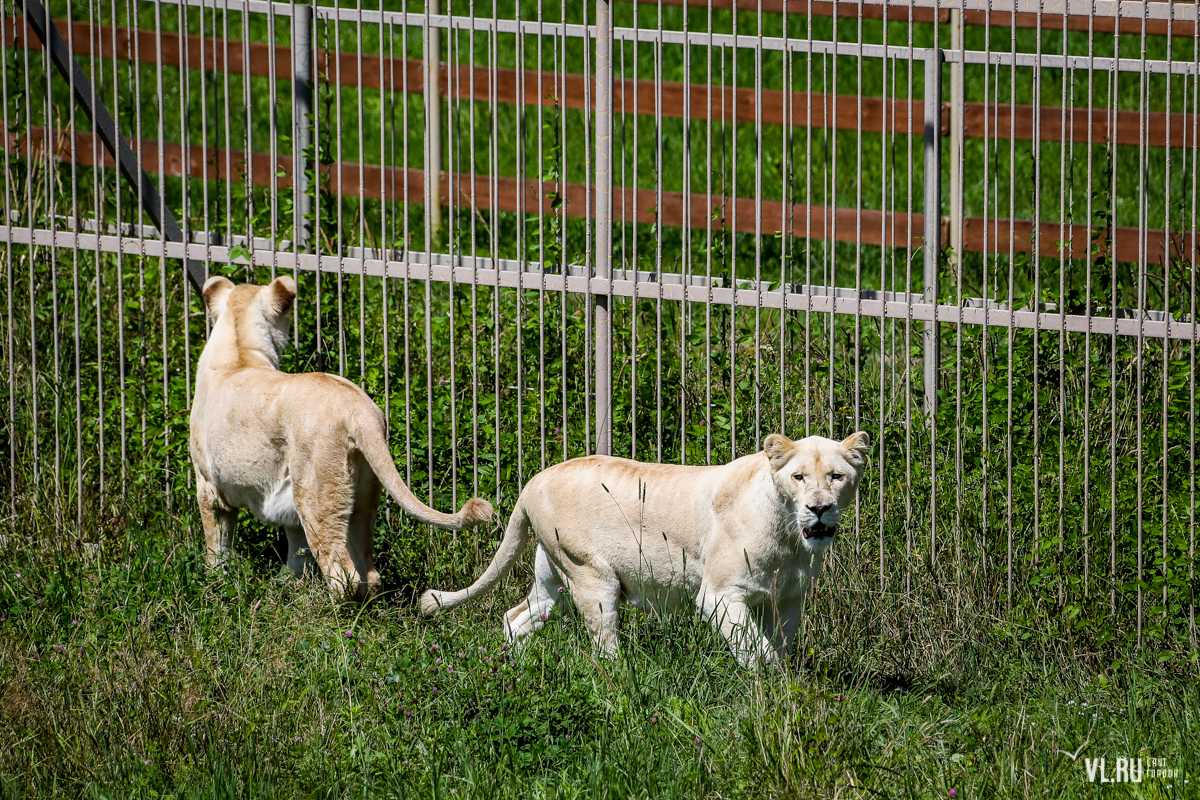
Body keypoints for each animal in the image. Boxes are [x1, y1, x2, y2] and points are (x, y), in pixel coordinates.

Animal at [189, 275, 489, 599]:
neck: (239, 348)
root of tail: (360, 411)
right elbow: (296, 550)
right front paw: (289, 586)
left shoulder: (208, 486)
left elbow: (217, 545)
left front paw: (214, 584)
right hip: (362, 496)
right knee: (369, 574)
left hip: (315, 492)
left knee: (342, 575)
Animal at [424, 434, 873, 666]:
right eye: (799, 477)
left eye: (836, 476)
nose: (819, 508)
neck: (790, 539)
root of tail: (533, 481)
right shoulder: (719, 596)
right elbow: (755, 648)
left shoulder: (789, 599)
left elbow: (779, 647)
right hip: (590, 575)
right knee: (603, 644)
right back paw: (618, 681)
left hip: (554, 579)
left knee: (516, 617)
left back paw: (516, 668)